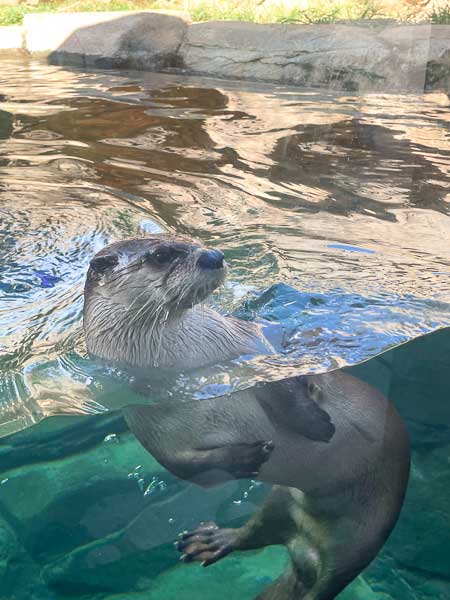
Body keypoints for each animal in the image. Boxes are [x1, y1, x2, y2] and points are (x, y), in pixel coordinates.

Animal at [82, 234, 410, 600]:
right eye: (161, 255)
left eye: (194, 241)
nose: (214, 255)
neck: (185, 367)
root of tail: (305, 554)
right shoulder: (147, 430)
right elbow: (191, 470)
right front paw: (245, 457)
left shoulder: (254, 354)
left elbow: (286, 389)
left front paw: (318, 426)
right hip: (287, 504)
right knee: (258, 532)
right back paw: (213, 541)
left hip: (364, 538)